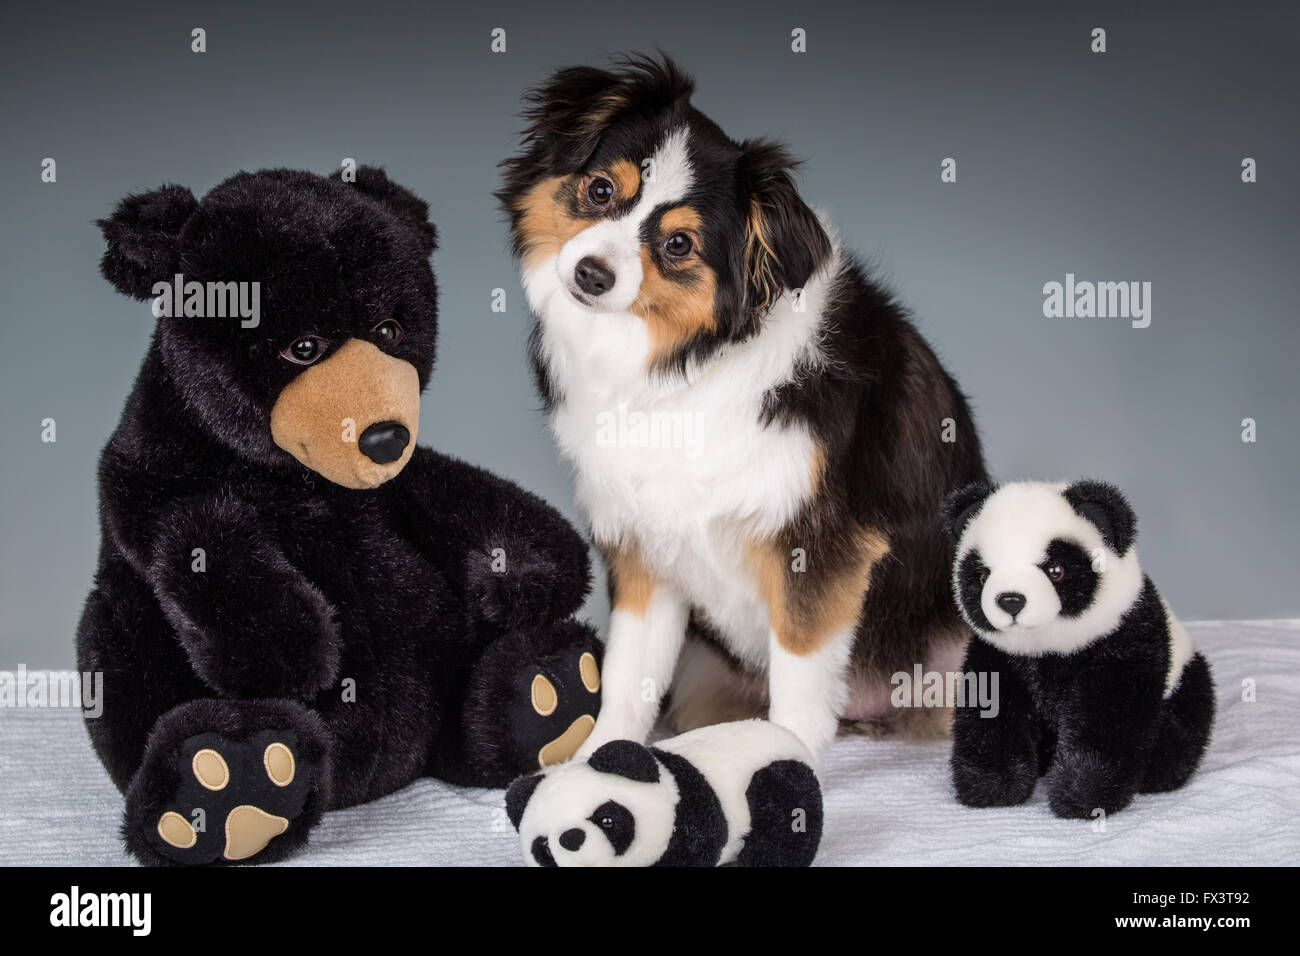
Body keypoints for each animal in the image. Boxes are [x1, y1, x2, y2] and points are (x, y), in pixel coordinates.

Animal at [496, 55, 982, 759]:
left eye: (678, 245)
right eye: (599, 190)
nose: (591, 273)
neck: (686, 365)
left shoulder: (818, 552)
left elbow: (800, 690)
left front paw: (792, 769)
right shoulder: (644, 547)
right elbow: (628, 675)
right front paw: (599, 761)